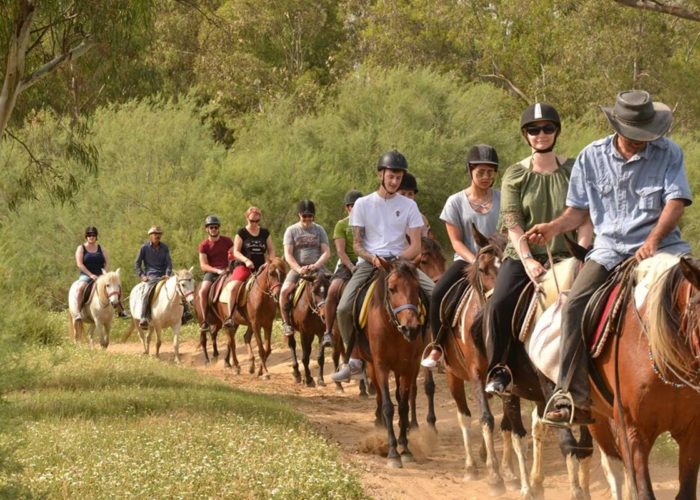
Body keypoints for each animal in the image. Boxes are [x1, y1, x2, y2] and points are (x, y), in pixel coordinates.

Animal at [352, 258, 430, 468]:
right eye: (392, 289)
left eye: (417, 288)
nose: (411, 328)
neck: (394, 329)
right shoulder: (381, 366)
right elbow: (388, 406)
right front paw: (393, 452)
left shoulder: (409, 366)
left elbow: (402, 406)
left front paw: (405, 448)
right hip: (372, 365)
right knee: (379, 395)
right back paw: (379, 423)